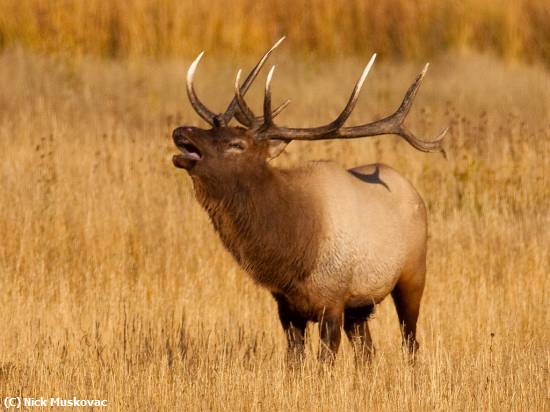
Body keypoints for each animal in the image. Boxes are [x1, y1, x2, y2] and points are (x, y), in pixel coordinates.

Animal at [172, 37, 448, 362]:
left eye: (236, 144)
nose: (181, 131)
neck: (293, 252)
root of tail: (412, 190)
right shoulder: (287, 307)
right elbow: (294, 360)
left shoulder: (333, 300)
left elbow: (324, 361)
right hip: (360, 306)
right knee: (367, 351)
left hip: (412, 274)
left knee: (410, 341)